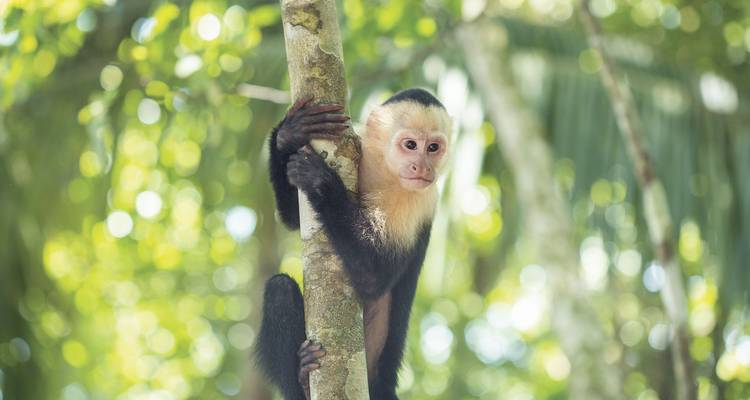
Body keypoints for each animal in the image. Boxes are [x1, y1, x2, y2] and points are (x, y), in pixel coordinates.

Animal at [255, 88, 451, 400]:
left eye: (434, 147)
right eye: (411, 145)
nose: (422, 166)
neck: (383, 172)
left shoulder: (418, 200)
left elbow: (374, 277)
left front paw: (320, 180)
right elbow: (292, 218)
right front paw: (289, 132)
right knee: (279, 290)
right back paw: (301, 377)